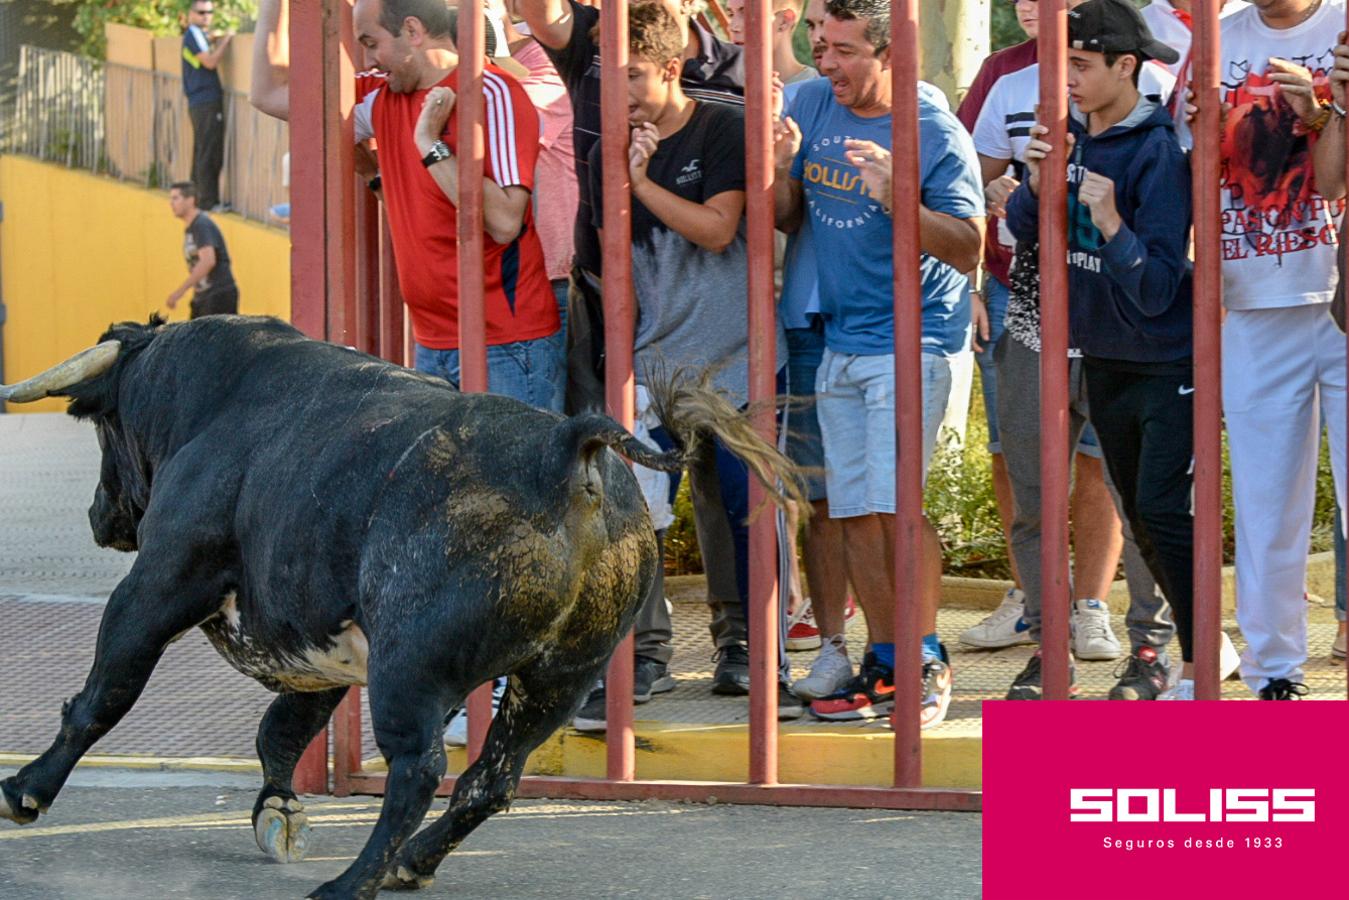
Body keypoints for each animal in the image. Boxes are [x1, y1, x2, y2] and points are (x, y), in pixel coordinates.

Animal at [0, 317, 798, 900]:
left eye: (103, 431)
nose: (98, 515)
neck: (207, 401)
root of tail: (563, 445)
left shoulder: (160, 581)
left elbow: (105, 694)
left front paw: (24, 791)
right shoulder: (315, 646)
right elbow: (280, 732)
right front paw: (279, 814)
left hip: (408, 669)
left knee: (417, 769)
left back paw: (352, 882)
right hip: (560, 676)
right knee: (489, 779)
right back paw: (410, 863)